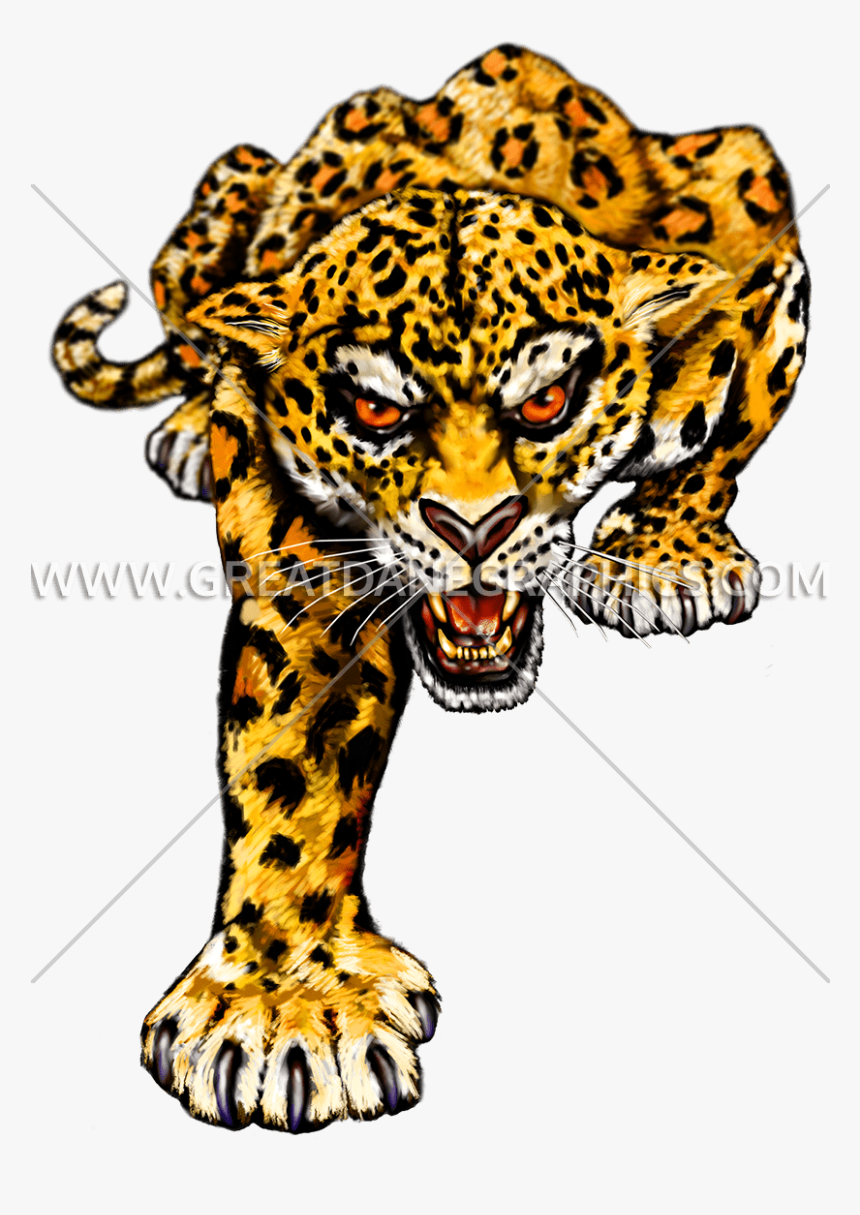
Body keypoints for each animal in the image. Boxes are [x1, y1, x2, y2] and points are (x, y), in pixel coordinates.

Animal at [51, 45, 808, 1132]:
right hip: (213, 210)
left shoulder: (755, 218)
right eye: (374, 411)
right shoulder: (305, 555)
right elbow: (290, 762)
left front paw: (665, 558)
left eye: (546, 401)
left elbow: (727, 415)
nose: (472, 527)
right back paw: (195, 423)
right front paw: (282, 1009)